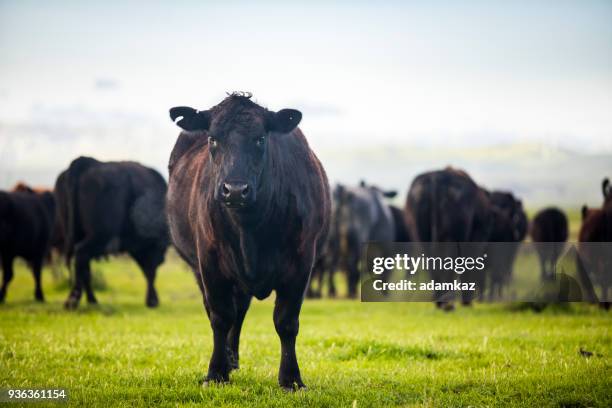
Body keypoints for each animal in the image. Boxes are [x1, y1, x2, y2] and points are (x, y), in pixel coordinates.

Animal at [56, 157, 169, 310]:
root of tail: (87, 162)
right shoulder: (149, 248)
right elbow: (150, 271)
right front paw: (152, 300)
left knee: (84, 266)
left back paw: (92, 300)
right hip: (100, 237)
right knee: (81, 256)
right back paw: (74, 301)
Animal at [166, 93, 330, 388]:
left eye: (260, 139)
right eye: (213, 139)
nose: (235, 190)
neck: (250, 231)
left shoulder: (301, 262)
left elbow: (286, 322)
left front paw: (291, 378)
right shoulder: (209, 262)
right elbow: (220, 317)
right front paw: (216, 372)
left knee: (240, 310)